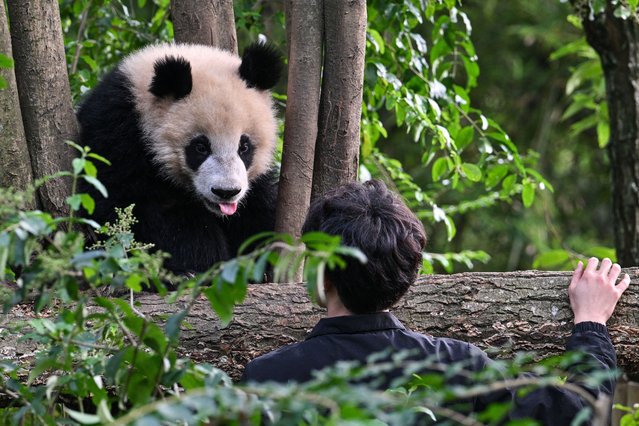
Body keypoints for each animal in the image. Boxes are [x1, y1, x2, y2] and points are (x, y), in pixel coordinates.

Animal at [77, 42, 282, 272]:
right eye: (200, 147)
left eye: (244, 147)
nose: (226, 192)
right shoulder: (115, 135)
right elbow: (132, 206)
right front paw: (199, 262)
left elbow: (257, 209)